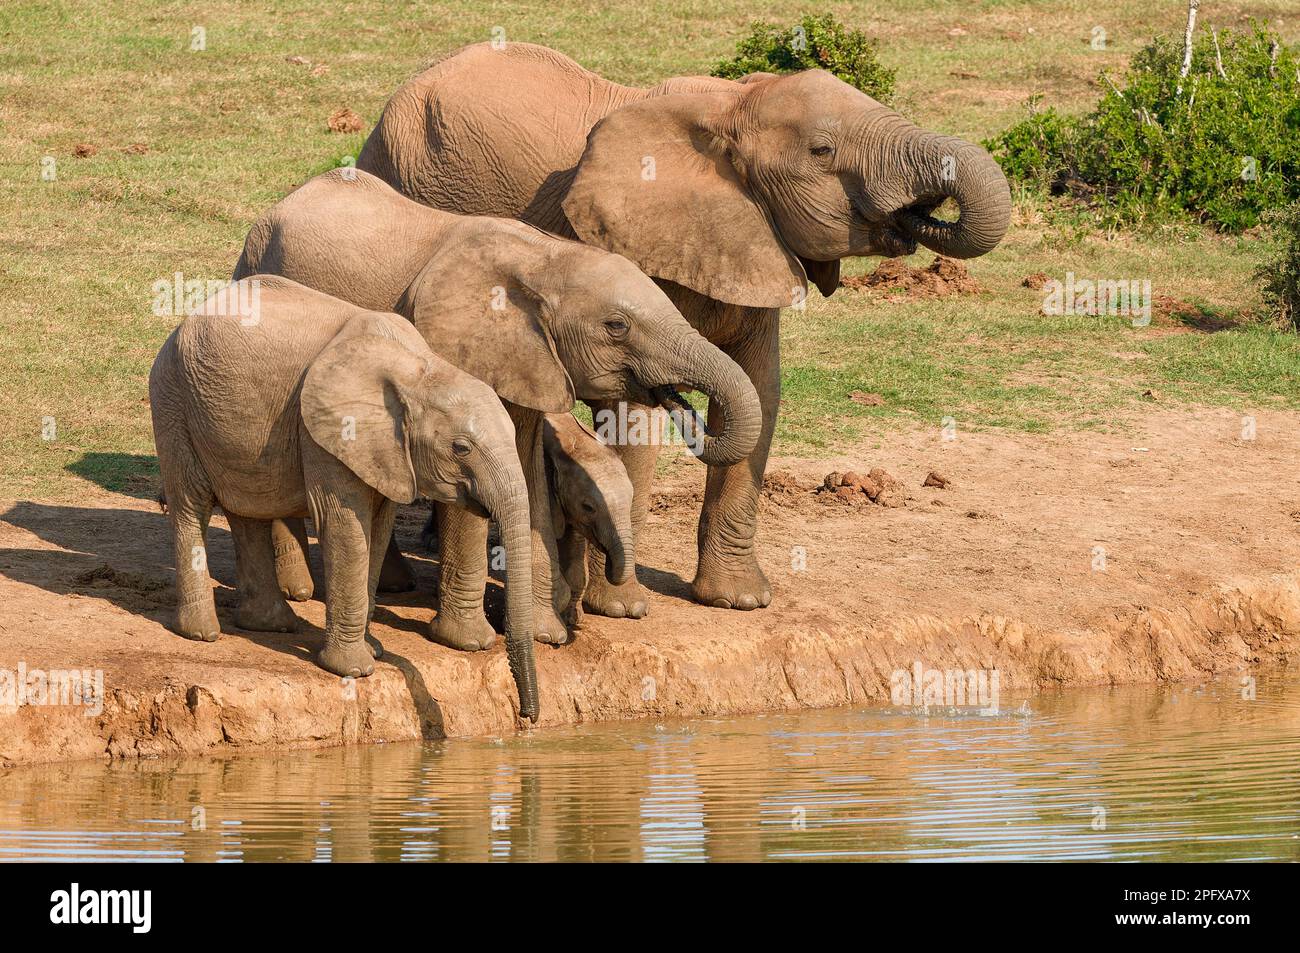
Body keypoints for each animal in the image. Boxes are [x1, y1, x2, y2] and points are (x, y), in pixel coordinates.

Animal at [149, 275, 540, 722]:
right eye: (461, 448)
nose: (528, 716)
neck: (418, 370)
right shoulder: (325, 431)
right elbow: (345, 526)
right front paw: (353, 669)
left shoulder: (387, 452)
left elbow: (379, 527)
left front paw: (373, 650)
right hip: (172, 399)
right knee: (191, 504)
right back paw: (202, 633)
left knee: (247, 511)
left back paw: (270, 625)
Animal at [233, 169, 759, 647]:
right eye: (617, 326)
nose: (685, 407)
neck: (546, 259)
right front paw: (470, 641)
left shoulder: (530, 362)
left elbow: (527, 479)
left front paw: (545, 634)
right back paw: (299, 590)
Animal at [358, 40, 1013, 608]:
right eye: (823, 152)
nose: (917, 215)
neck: (732, 106)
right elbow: (633, 417)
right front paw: (621, 608)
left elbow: (761, 392)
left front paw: (739, 601)